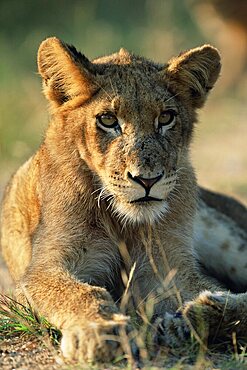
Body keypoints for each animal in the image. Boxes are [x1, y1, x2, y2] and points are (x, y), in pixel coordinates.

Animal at [0, 36, 247, 362]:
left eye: (165, 118)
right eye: (107, 120)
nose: (147, 180)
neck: (121, 222)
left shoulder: (166, 268)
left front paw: (189, 318)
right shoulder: (42, 269)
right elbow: (78, 293)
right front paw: (100, 330)